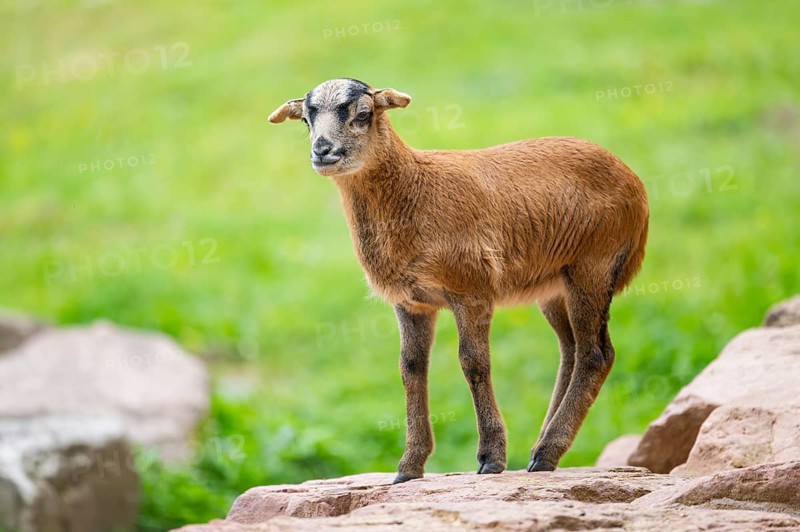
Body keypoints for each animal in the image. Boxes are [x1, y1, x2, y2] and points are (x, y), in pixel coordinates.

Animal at [269, 78, 649, 483]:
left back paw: (546, 452)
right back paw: (539, 453)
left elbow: (473, 363)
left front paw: (491, 459)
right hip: (554, 286)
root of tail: (636, 187)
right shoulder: (411, 302)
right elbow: (410, 368)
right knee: (572, 351)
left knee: (596, 355)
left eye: (364, 114)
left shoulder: (472, 290)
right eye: (306, 120)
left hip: (594, 266)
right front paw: (408, 467)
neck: (415, 187)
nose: (323, 151)